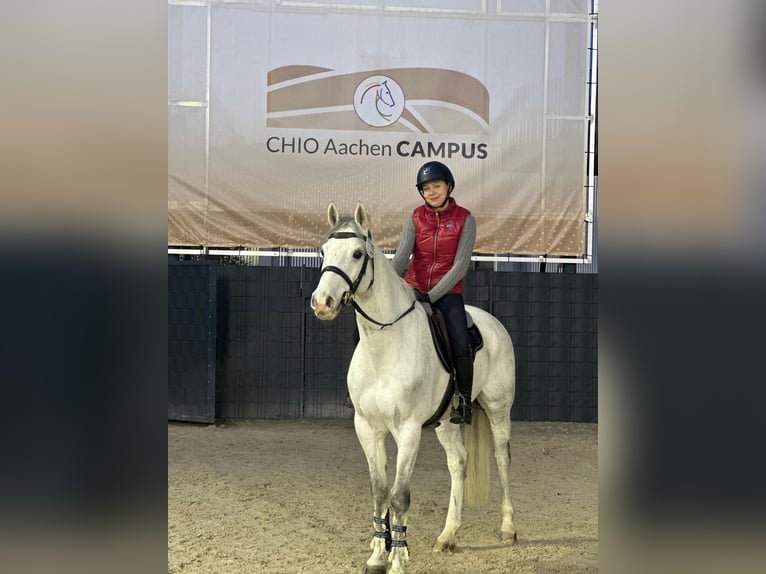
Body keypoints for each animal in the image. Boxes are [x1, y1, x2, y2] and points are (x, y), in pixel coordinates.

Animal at [310, 203, 517, 574]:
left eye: (357, 253)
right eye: (323, 251)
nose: (323, 303)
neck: (384, 345)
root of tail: (493, 323)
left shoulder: (407, 431)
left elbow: (399, 496)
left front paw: (398, 559)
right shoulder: (367, 428)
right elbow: (379, 491)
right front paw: (377, 555)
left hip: (498, 409)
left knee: (502, 458)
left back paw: (508, 529)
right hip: (447, 422)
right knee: (458, 463)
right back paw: (448, 536)